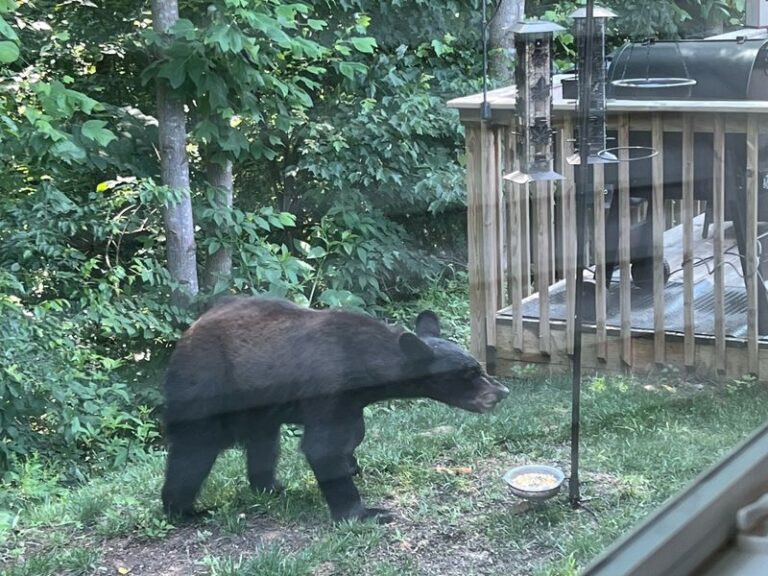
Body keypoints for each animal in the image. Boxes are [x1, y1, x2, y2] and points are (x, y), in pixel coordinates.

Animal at [161, 296, 508, 523]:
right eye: (469, 374)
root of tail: (187, 333)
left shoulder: (350, 401)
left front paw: (351, 462)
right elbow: (322, 446)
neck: (364, 364)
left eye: (478, 367)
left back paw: (271, 488)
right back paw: (185, 511)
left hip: (260, 404)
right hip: (205, 384)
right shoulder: (328, 385)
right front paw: (364, 512)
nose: (501, 392)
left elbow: (353, 433)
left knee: (264, 443)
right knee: (194, 450)